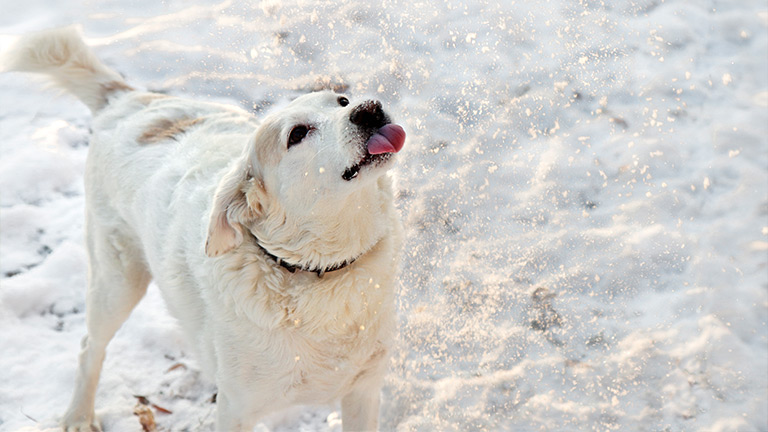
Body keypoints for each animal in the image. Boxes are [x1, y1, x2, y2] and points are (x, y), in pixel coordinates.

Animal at [3, 27, 404, 432]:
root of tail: (126, 99)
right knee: (90, 348)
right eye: (298, 134)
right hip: (115, 282)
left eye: (342, 100)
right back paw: (79, 416)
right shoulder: (236, 408)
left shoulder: (363, 391)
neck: (317, 272)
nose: (369, 109)